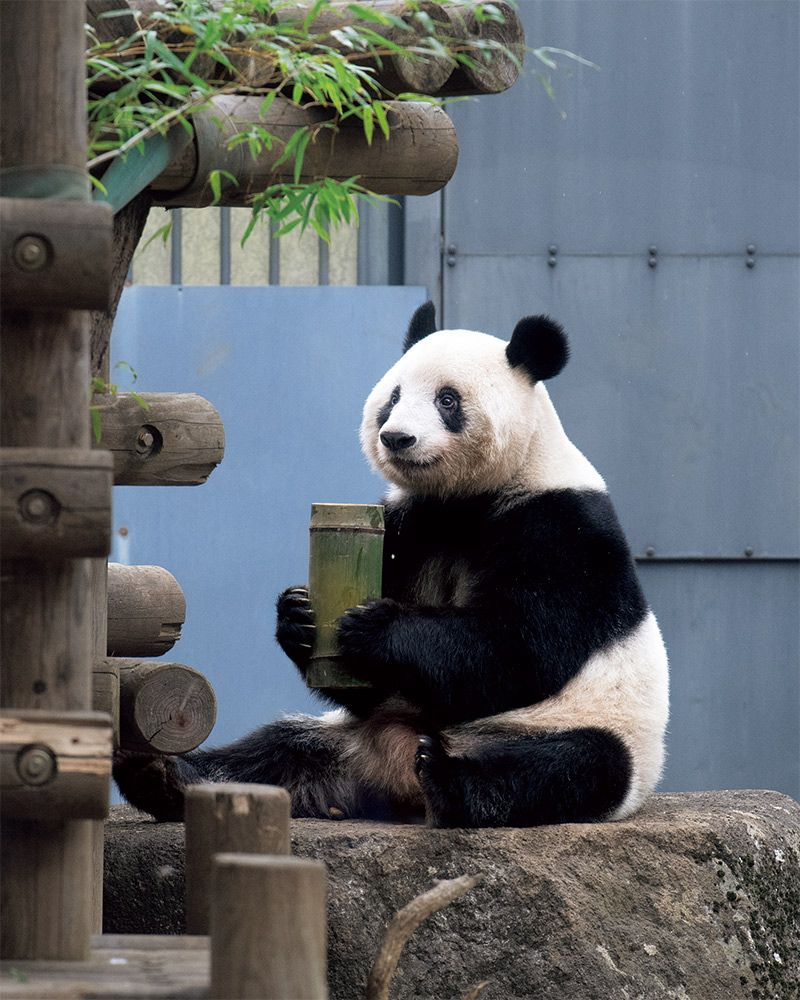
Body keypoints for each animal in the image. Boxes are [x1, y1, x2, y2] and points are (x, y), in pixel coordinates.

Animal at [114, 304, 668, 828]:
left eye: (448, 400)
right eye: (394, 397)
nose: (397, 437)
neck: (468, 498)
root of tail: (397, 773)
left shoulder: (561, 529)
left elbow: (519, 647)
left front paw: (379, 628)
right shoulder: (409, 523)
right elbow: (367, 683)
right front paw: (297, 615)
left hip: (589, 731)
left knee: (567, 768)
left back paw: (448, 781)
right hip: (346, 738)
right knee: (275, 751)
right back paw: (166, 776)